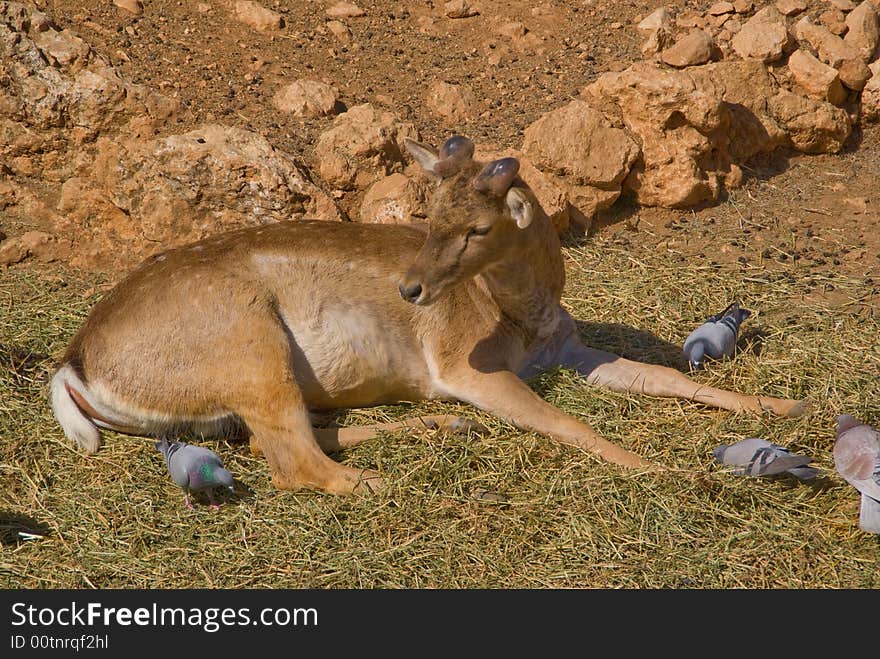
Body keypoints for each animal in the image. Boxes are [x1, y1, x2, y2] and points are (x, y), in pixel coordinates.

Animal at [46, 134, 804, 496]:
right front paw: (665, 470)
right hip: (248, 342)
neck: (520, 315)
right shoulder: (465, 365)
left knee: (280, 441)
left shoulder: (569, 349)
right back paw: (401, 480)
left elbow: (667, 376)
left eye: (476, 226)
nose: (410, 289)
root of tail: (73, 364)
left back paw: (445, 428)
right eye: (427, 209)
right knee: (292, 459)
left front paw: (784, 405)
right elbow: (566, 421)